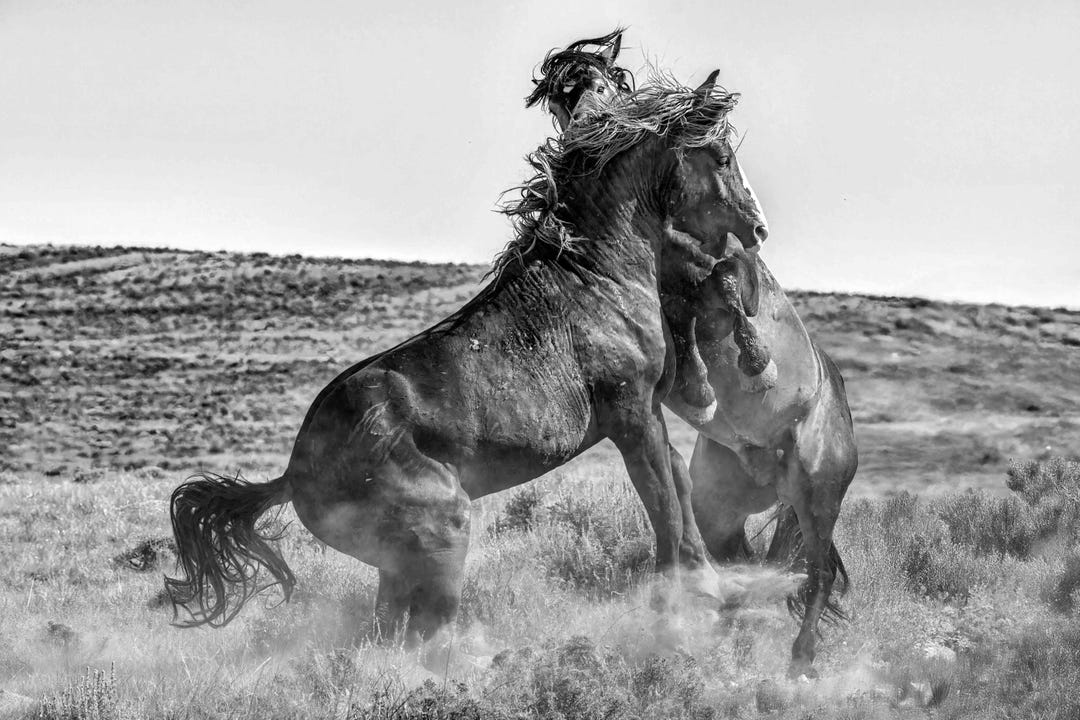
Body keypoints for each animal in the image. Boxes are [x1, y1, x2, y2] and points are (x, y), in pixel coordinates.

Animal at [164, 71, 769, 660]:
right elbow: (662, 502)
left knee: (390, 636)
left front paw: (712, 586)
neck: (598, 277)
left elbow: (678, 488)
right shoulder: (630, 417)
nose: (759, 230)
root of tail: (293, 472)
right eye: (721, 157)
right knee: (425, 637)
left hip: (402, 560)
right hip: (446, 528)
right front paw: (690, 601)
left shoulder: (648, 414)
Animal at [529, 31, 858, 677]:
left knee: (816, 576)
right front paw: (699, 386)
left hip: (817, 493)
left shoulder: (739, 275)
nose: (586, 143)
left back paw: (798, 665)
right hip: (723, 506)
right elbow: (684, 309)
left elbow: (726, 280)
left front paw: (752, 364)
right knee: (752, 564)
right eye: (559, 101)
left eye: (601, 84)